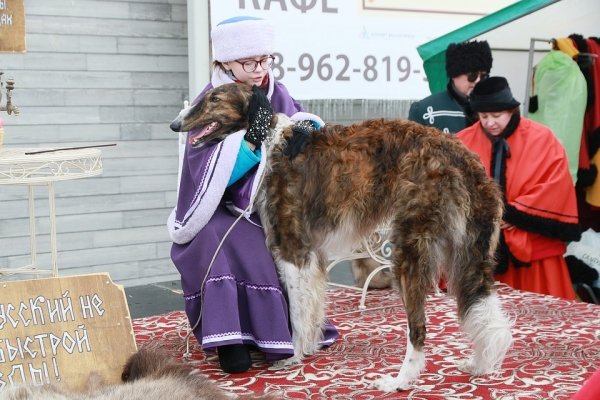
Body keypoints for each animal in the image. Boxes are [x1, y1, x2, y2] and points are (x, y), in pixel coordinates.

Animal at [171, 83, 512, 392]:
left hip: (410, 252)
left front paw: (293, 355)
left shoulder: (293, 250)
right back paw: (480, 363)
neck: (269, 141)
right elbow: (312, 308)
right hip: (468, 253)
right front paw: (309, 348)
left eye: (215, 98)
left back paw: (400, 381)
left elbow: (297, 314)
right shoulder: (314, 256)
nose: (175, 124)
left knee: (419, 329)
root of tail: (463, 157)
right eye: (205, 96)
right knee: (483, 306)